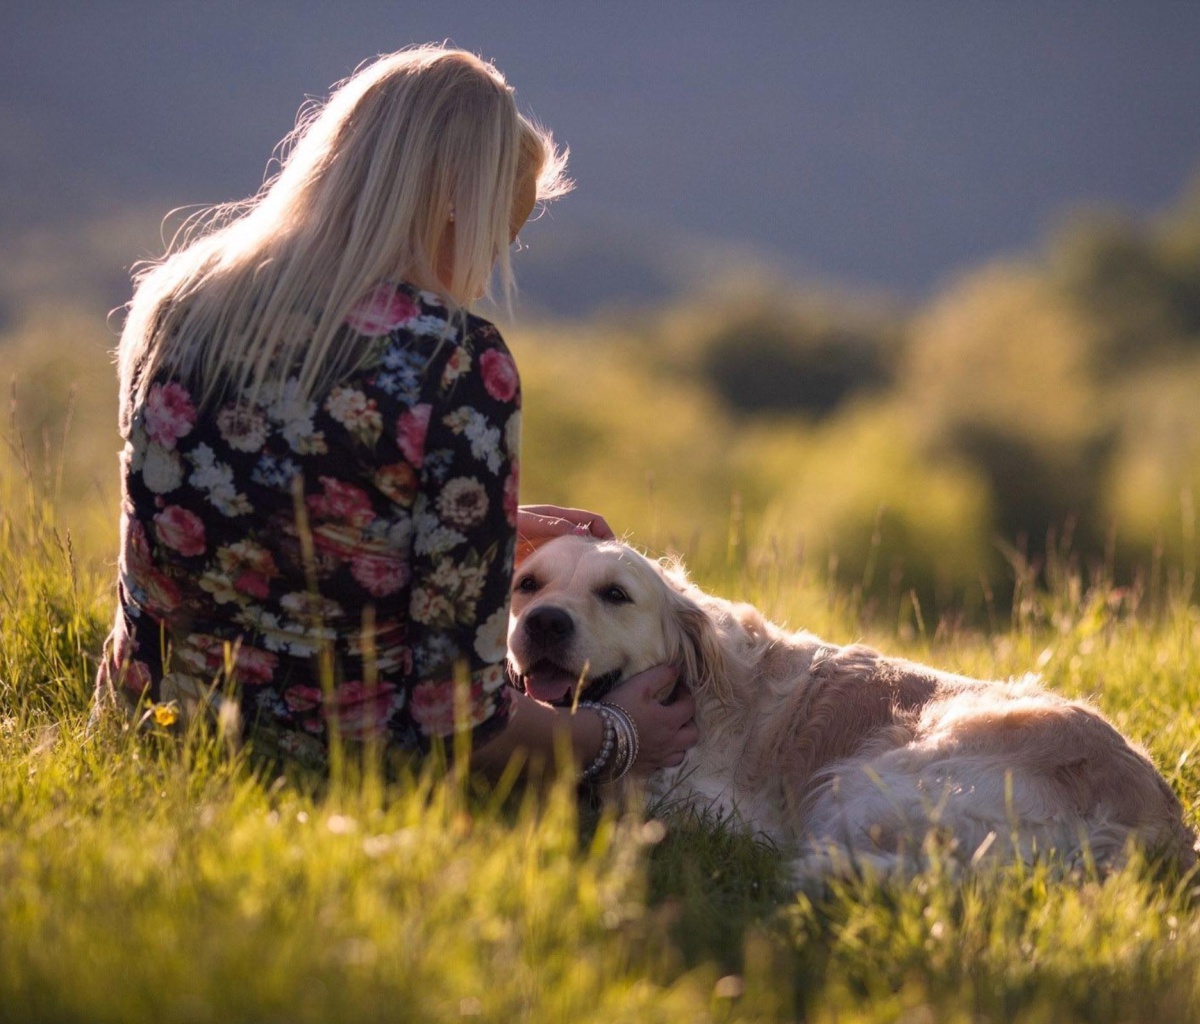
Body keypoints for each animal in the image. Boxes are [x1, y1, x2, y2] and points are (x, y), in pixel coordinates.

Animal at [508, 530, 1200, 873]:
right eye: (527, 584)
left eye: (615, 595)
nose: (543, 623)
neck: (700, 686)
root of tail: (1159, 824)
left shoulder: (717, 806)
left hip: (869, 783)